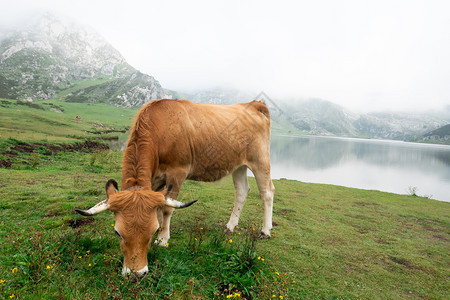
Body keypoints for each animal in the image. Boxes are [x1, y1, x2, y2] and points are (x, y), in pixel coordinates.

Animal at [74, 99, 274, 276]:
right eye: (117, 232)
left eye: (150, 233)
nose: (136, 273)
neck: (160, 130)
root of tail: (253, 104)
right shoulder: (154, 180)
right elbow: (158, 207)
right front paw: (161, 229)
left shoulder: (177, 172)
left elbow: (167, 208)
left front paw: (162, 238)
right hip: (238, 165)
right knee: (242, 191)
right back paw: (230, 226)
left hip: (260, 160)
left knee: (267, 192)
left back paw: (265, 230)